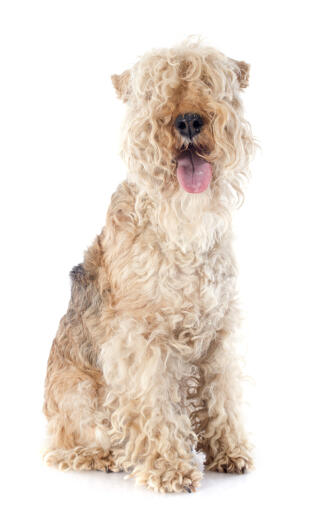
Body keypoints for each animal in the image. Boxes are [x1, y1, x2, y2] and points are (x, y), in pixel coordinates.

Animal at [43, 38, 255, 494]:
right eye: (153, 89)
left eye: (209, 80)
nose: (189, 120)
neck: (182, 236)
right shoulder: (140, 340)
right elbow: (155, 405)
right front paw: (170, 468)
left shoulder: (219, 332)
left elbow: (221, 396)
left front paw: (229, 451)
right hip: (76, 390)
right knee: (66, 446)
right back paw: (105, 456)